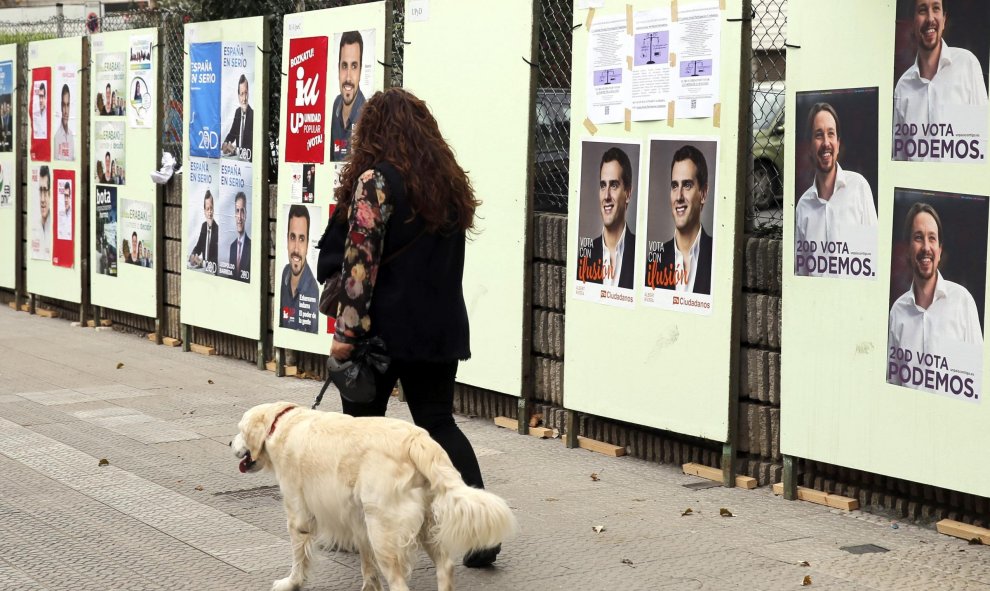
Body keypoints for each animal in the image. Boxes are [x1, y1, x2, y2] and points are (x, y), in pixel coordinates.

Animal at [232, 402, 520, 591]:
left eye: (240, 430)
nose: (229, 443)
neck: (281, 424)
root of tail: (418, 440)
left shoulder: (298, 514)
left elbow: (299, 557)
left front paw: (291, 583)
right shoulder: (359, 520)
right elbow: (367, 565)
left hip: (385, 531)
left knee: (400, 583)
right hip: (424, 524)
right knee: (445, 567)